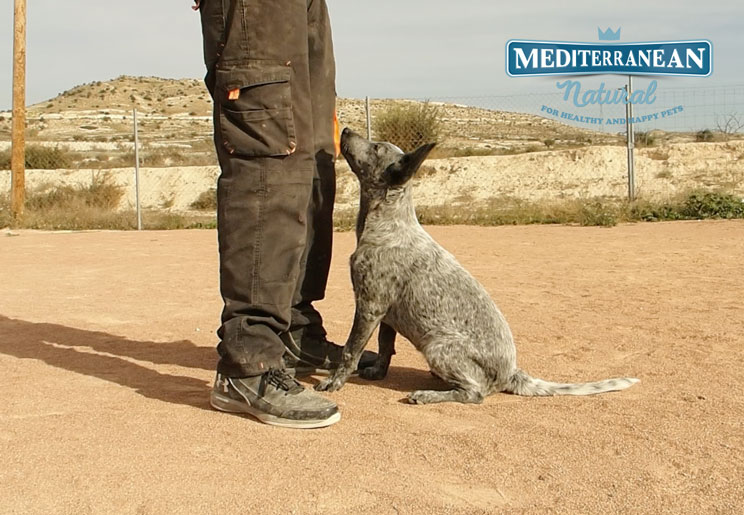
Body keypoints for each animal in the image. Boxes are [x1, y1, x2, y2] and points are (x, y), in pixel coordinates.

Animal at [314, 128, 640, 404]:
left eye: (377, 147)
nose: (344, 130)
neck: (389, 223)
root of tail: (512, 373)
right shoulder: (386, 314)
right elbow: (384, 347)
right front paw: (377, 373)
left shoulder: (369, 306)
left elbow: (351, 351)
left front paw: (334, 382)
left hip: (437, 346)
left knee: (475, 394)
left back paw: (428, 395)